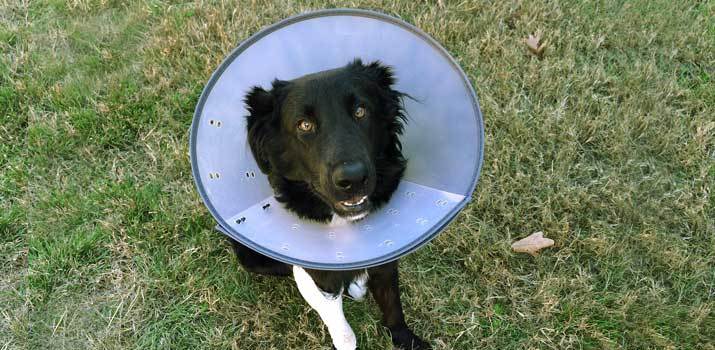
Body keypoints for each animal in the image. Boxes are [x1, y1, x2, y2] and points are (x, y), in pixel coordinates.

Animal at [232, 60, 428, 350]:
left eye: (360, 111)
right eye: (304, 125)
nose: (353, 179)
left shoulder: (387, 255)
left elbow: (393, 303)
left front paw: (406, 339)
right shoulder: (320, 273)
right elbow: (340, 325)